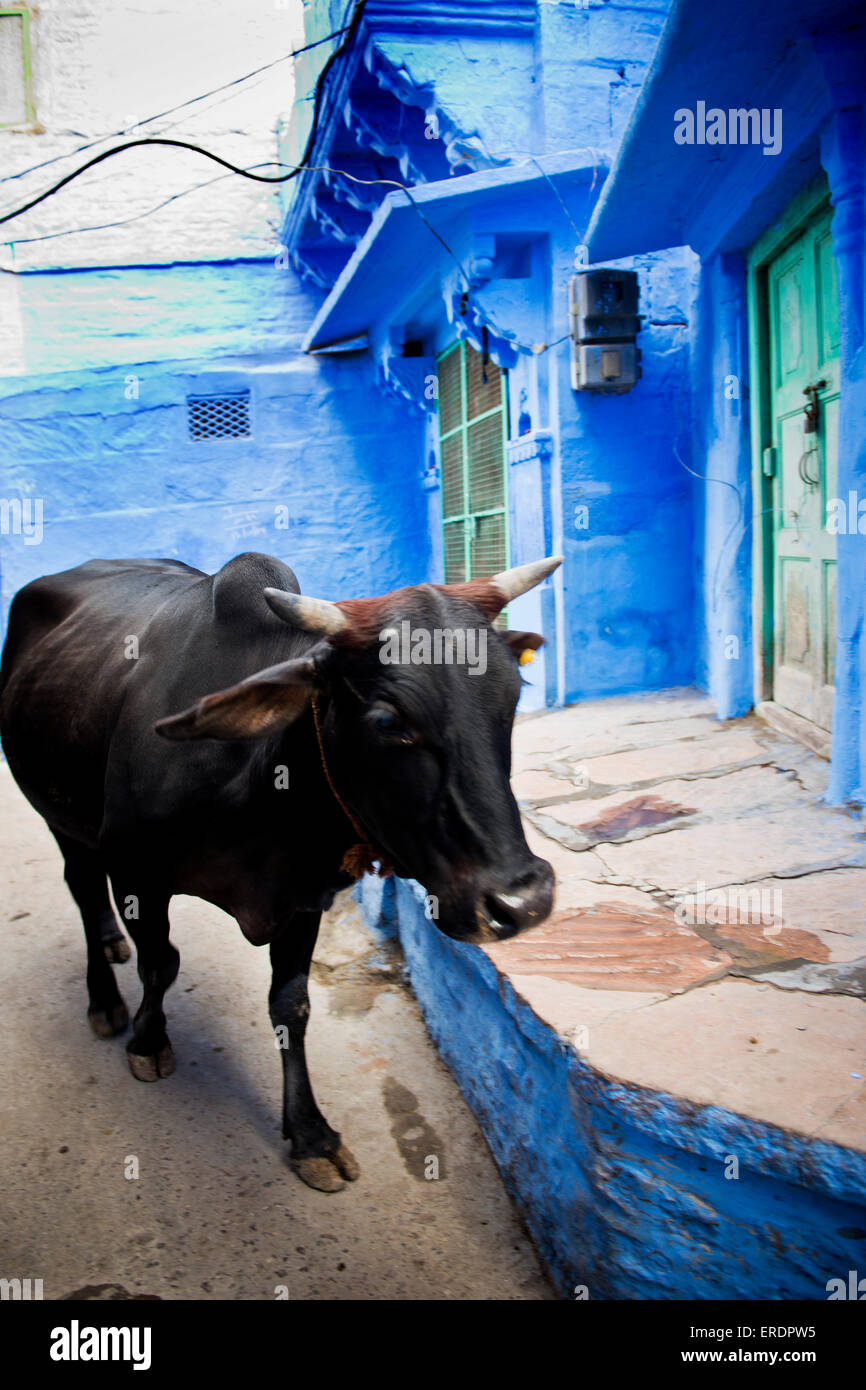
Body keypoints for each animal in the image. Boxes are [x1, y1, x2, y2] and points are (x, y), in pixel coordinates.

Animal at [0, 551, 560, 1191]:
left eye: (513, 693)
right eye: (387, 720)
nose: (523, 901)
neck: (263, 786)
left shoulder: (304, 897)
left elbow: (290, 1005)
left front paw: (311, 1134)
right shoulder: (137, 873)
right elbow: (161, 965)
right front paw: (147, 1039)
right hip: (58, 814)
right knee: (82, 886)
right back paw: (104, 999)